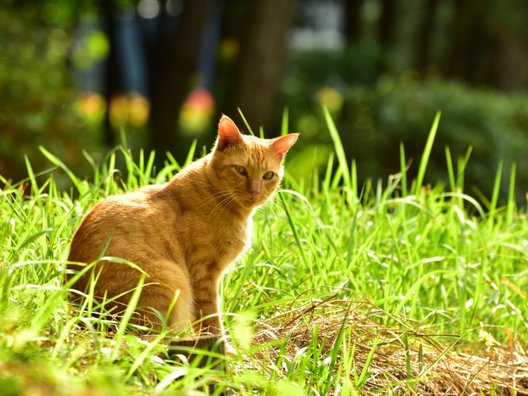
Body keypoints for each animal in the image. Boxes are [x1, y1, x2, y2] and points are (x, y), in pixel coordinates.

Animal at [66, 114, 296, 334]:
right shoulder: (203, 273)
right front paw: (221, 344)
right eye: (240, 170)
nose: (255, 191)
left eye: (268, 175)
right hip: (167, 278)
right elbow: (211, 317)